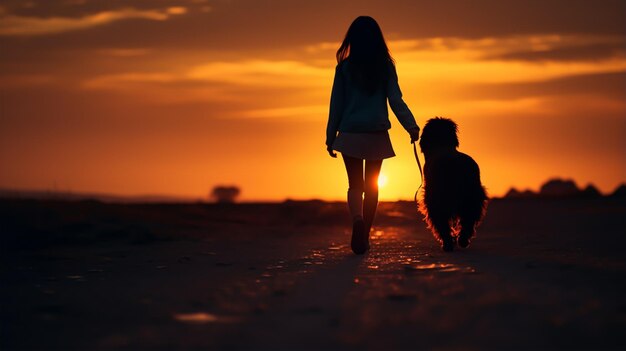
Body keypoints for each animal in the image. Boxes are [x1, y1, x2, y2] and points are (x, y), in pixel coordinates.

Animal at [420, 118, 488, 253]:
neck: (442, 144)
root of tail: (456, 166)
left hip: (440, 199)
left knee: (442, 222)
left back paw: (447, 244)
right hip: (472, 197)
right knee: (468, 221)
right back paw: (462, 241)